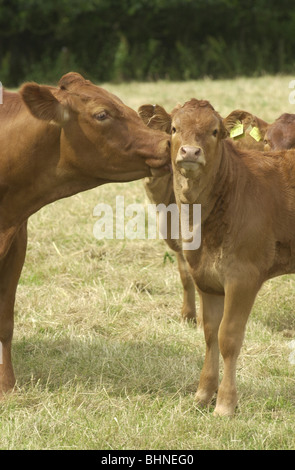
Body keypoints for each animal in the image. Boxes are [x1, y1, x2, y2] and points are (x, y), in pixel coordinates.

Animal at [142, 98, 295, 414]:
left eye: (214, 131)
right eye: (174, 129)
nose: (190, 152)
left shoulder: (243, 277)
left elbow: (229, 337)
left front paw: (225, 403)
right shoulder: (205, 277)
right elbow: (211, 333)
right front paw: (202, 395)